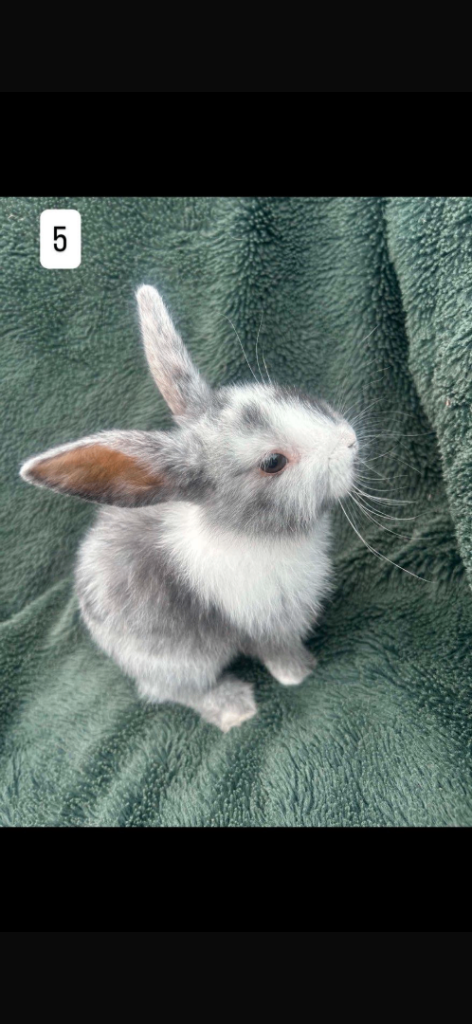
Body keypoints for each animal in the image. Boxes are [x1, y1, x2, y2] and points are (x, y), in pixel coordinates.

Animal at [20, 285, 358, 731]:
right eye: (273, 462)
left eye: (290, 395)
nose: (351, 441)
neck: (246, 530)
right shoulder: (266, 623)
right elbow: (277, 653)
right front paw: (301, 672)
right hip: (179, 662)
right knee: (175, 692)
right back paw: (234, 707)